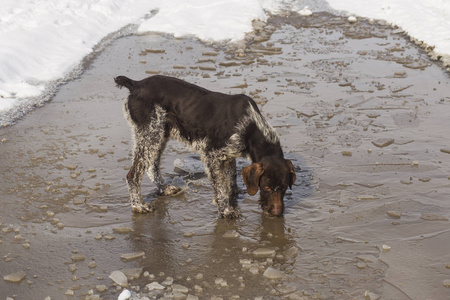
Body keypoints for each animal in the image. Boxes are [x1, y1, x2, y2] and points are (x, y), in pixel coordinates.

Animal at [115, 75, 296, 218]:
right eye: (267, 187)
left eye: (284, 187)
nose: (277, 213)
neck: (251, 126)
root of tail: (135, 84)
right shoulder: (212, 155)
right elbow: (221, 187)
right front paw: (225, 210)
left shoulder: (228, 156)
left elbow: (230, 180)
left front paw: (232, 197)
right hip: (150, 136)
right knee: (133, 176)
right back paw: (138, 205)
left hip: (158, 137)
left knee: (152, 167)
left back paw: (164, 189)